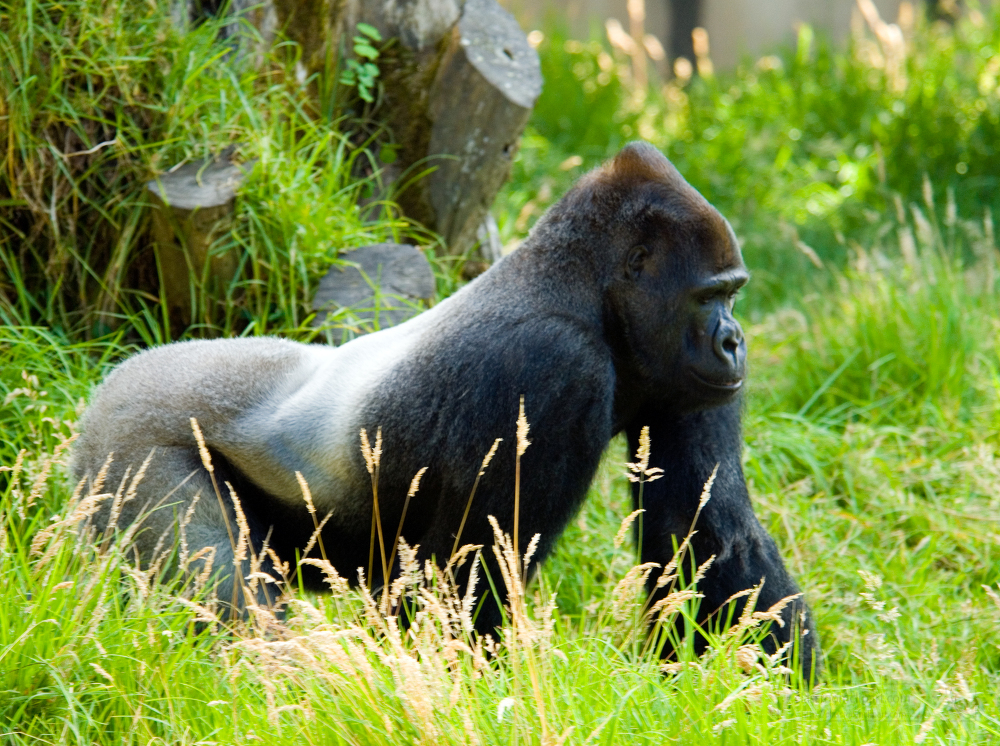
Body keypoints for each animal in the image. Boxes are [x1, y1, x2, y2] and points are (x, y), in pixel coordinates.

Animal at [72, 140, 820, 676]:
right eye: (710, 296)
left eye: (733, 292)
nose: (734, 341)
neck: (582, 290)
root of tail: (112, 380)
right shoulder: (550, 365)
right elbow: (465, 581)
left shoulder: (683, 381)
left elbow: (714, 536)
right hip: (125, 447)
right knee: (234, 609)